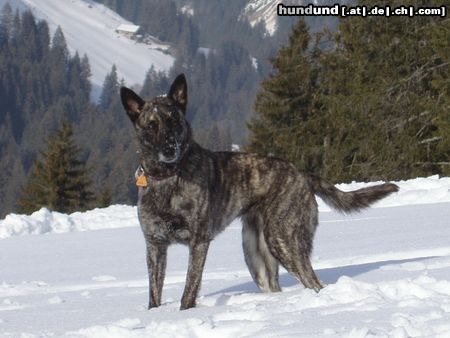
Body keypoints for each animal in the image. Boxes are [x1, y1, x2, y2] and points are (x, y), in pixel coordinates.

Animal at [120, 74, 400, 312]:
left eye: (174, 121)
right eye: (151, 125)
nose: (170, 148)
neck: (167, 176)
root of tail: (301, 173)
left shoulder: (198, 242)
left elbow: (189, 290)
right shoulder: (155, 245)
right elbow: (154, 294)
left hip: (284, 241)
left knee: (314, 282)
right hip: (256, 254)